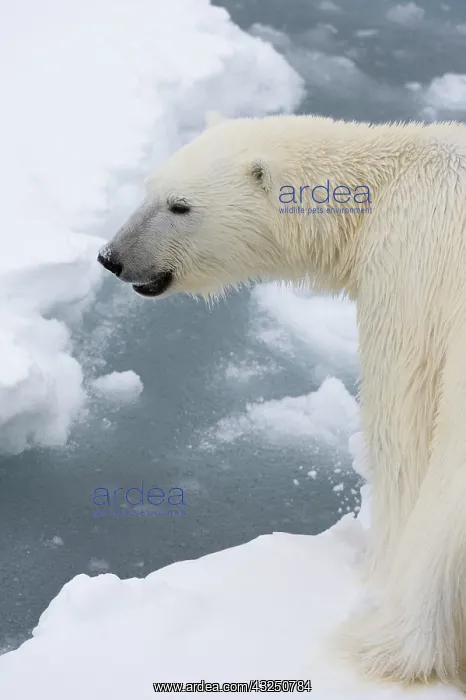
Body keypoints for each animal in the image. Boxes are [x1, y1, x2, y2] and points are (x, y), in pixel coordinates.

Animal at [98, 113, 466, 690]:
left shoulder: (411, 269)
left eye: (180, 205)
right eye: (148, 189)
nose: (111, 257)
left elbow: (402, 435)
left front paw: (377, 571)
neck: (386, 183)